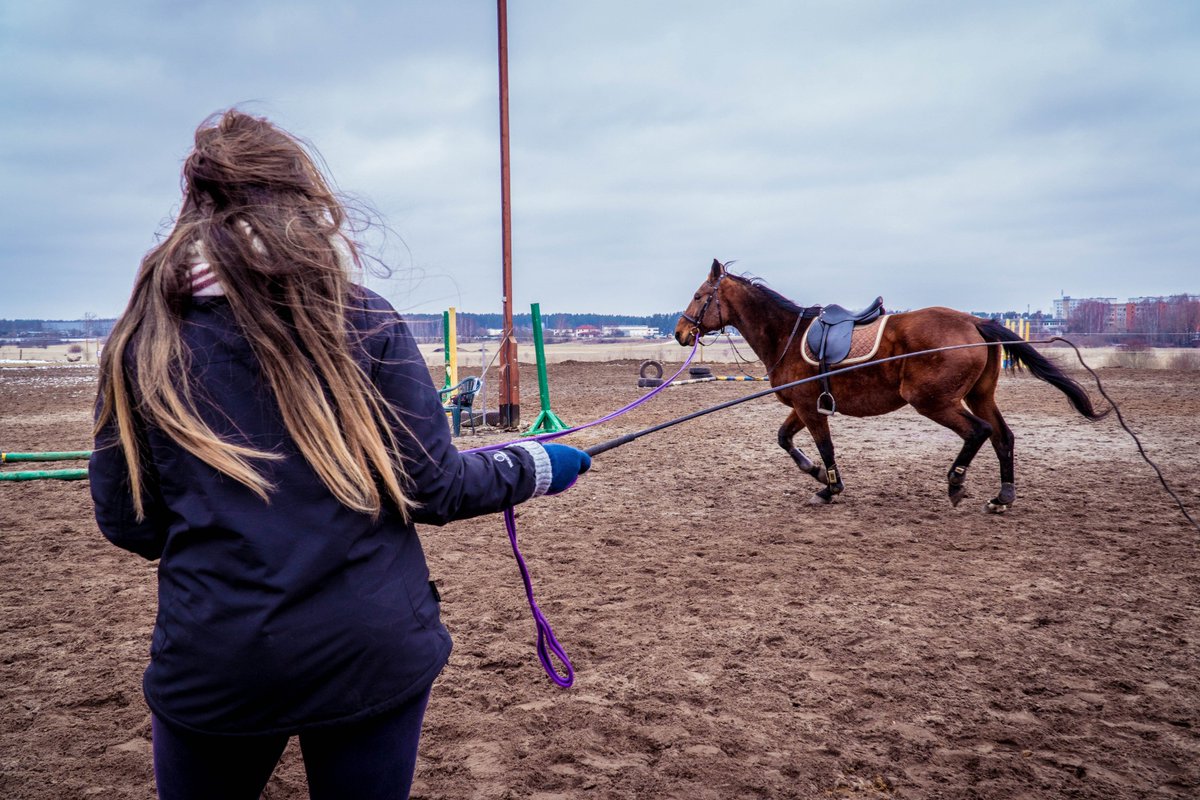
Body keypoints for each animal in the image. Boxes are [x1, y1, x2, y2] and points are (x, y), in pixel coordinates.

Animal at [674, 259, 1106, 512]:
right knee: (1003, 436)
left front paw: (829, 487)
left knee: (978, 432)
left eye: (698, 295)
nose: (680, 332)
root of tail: (974, 322)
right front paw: (817, 476)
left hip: (932, 401)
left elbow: (825, 448)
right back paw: (1003, 497)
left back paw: (956, 483)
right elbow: (785, 439)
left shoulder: (810, 408)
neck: (787, 336)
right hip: (978, 394)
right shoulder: (804, 406)